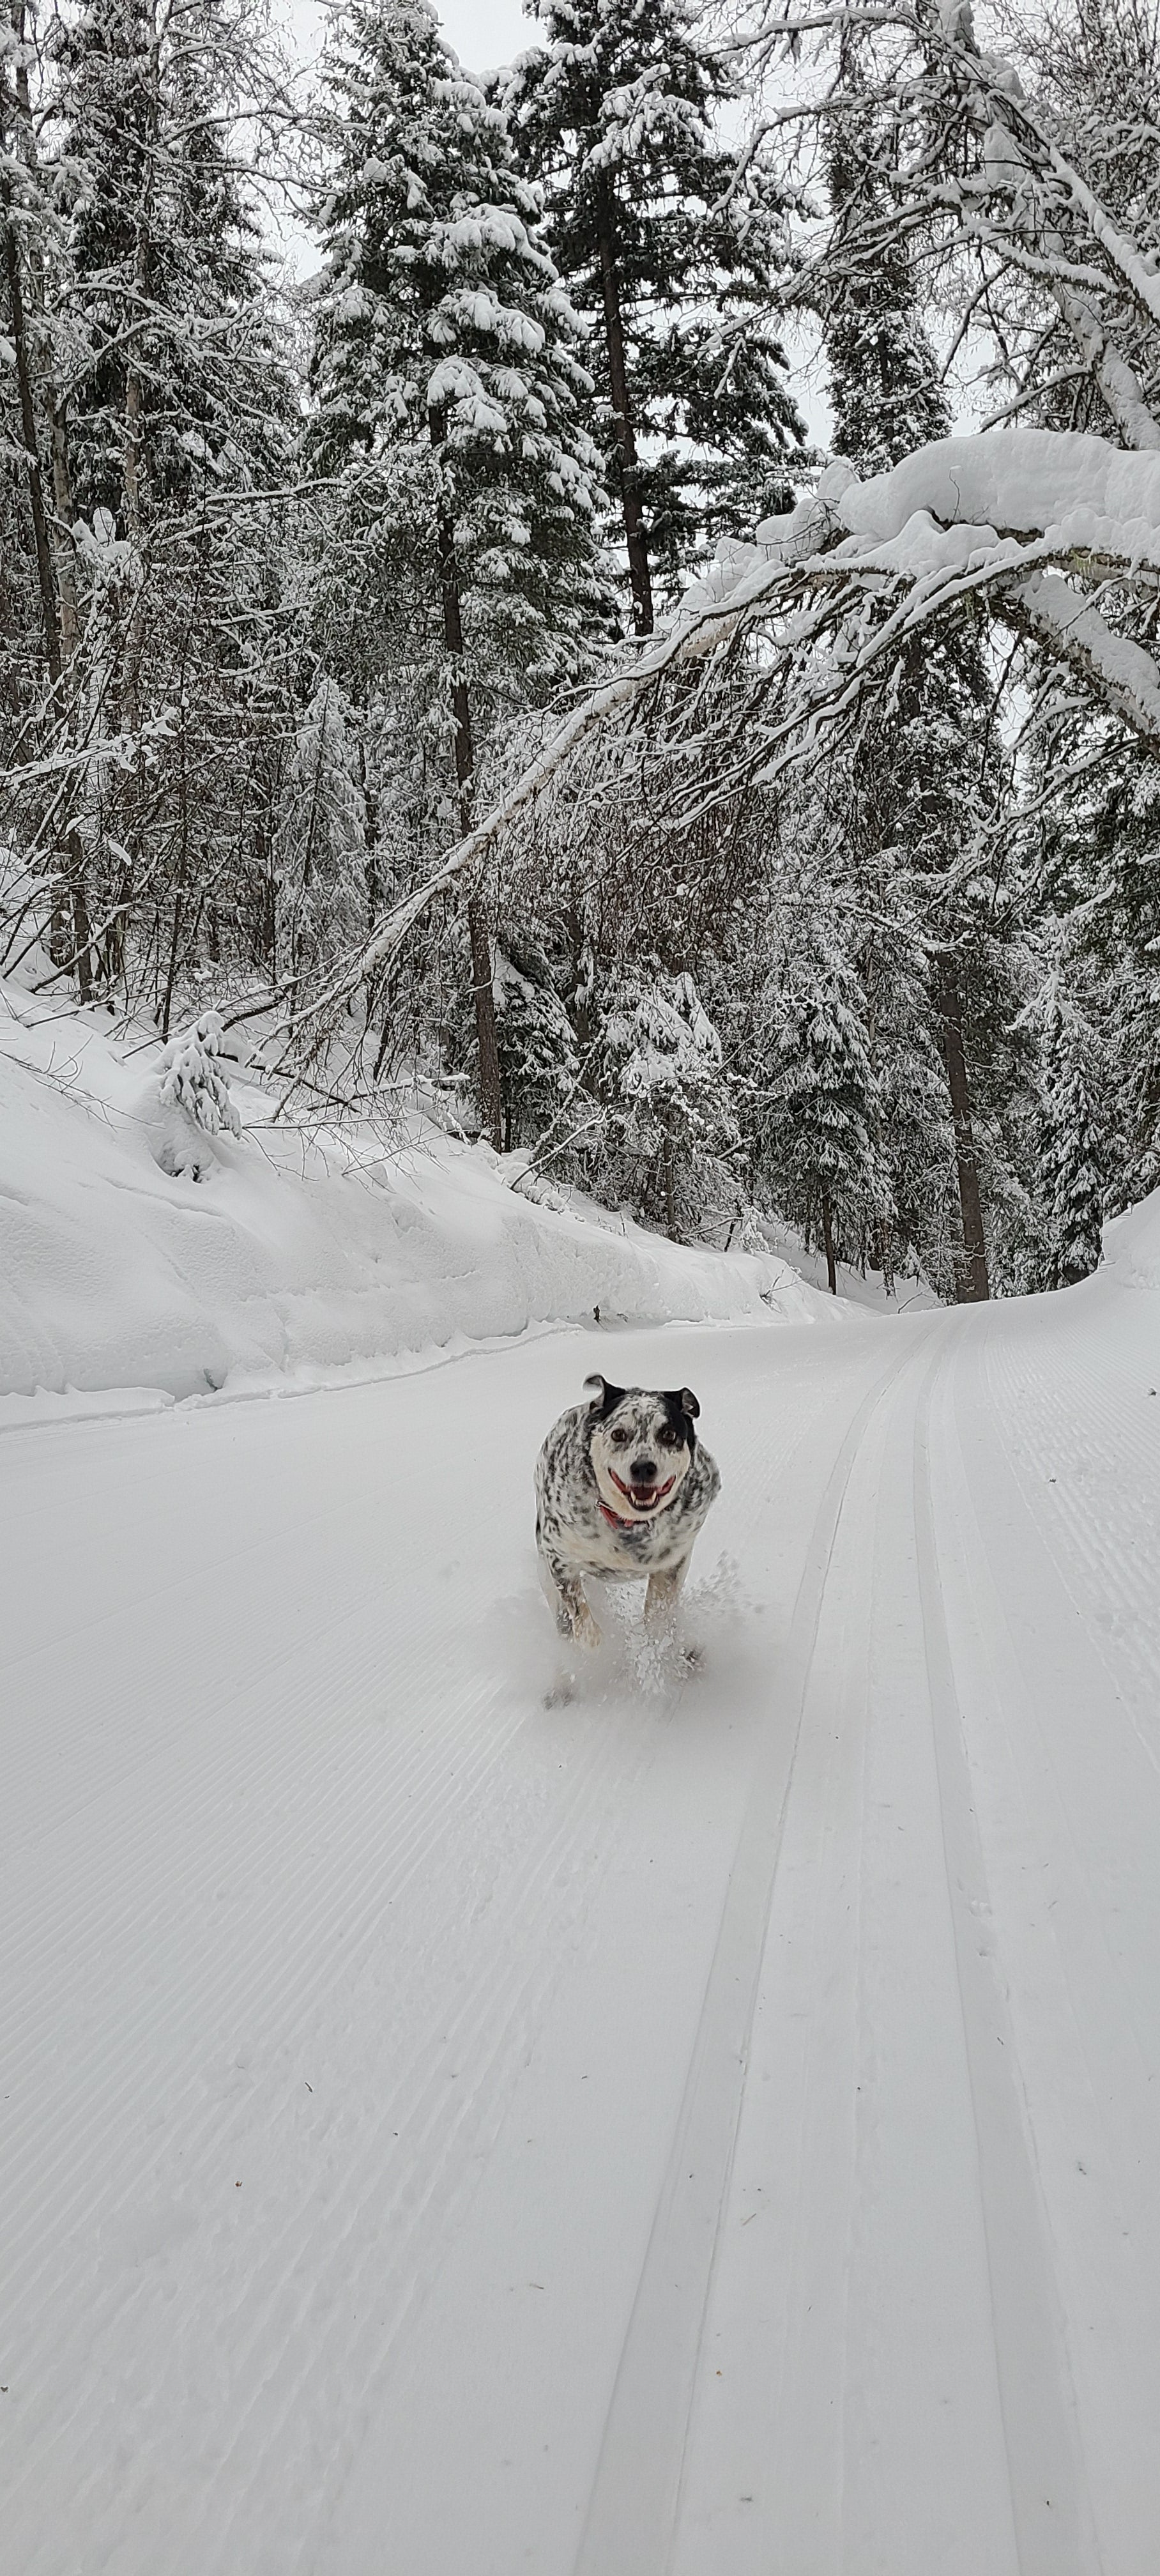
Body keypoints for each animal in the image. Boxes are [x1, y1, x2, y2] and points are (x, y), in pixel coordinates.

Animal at [533, 1370, 716, 1648]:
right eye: (618, 1434)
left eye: (669, 1434)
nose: (643, 1467)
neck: (629, 1523)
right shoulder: (559, 1556)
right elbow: (582, 1621)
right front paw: (594, 1643)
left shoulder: (674, 1561)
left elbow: (658, 1615)